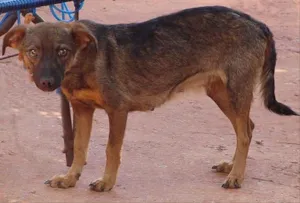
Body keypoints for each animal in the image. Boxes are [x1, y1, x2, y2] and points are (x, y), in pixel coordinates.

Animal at [1, 5, 298, 191]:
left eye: (62, 51)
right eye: (33, 52)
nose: (47, 83)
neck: (84, 62)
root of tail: (258, 23)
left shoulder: (117, 110)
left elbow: (111, 150)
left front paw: (107, 183)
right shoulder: (82, 109)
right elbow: (80, 148)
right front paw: (70, 179)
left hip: (236, 90)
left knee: (245, 132)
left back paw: (236, 176)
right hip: (220, 92)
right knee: (247, 127)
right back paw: (233, 166)